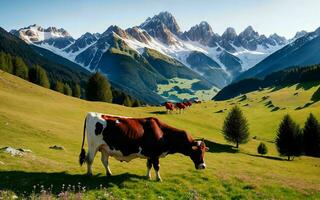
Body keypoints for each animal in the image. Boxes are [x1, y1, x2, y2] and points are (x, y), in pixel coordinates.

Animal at [79, 112, 209, 181]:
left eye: (204, 151)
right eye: (197, 151)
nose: (203, 166)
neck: (163, 133)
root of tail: (91, 114)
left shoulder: (150, 154)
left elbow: (149, 165)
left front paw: (147, 176)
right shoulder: (155, 154)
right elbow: (157, 166)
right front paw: (158, 178)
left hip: (104, 147)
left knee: (104, 161)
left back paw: (109, 173)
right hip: (93, 145)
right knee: (89, 159)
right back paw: (90, 174)